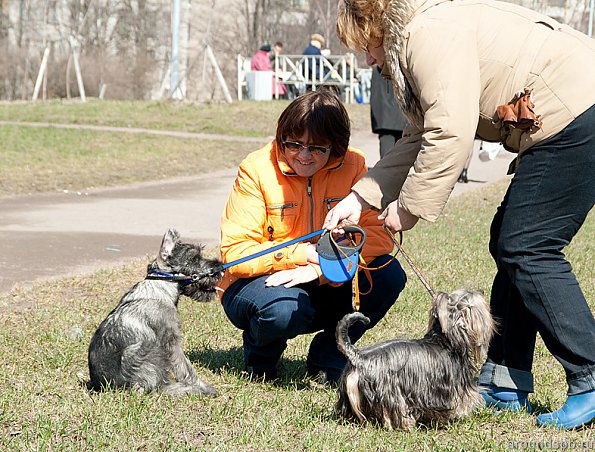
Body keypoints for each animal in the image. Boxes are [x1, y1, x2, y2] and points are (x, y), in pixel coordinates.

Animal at [89, 230, 225, 396]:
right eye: (194, 258)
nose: (220, 267)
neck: (162, 287)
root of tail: (108, 386)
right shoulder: (171, 342)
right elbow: (185, 367)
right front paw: (202, 386)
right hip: (147, 347)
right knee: (155, 386)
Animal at [338, 288, 496, 430]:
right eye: (472, 299)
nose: (482, 291)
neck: (445, 339)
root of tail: (358, 356)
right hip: (391, 392)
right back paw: (405, 425)